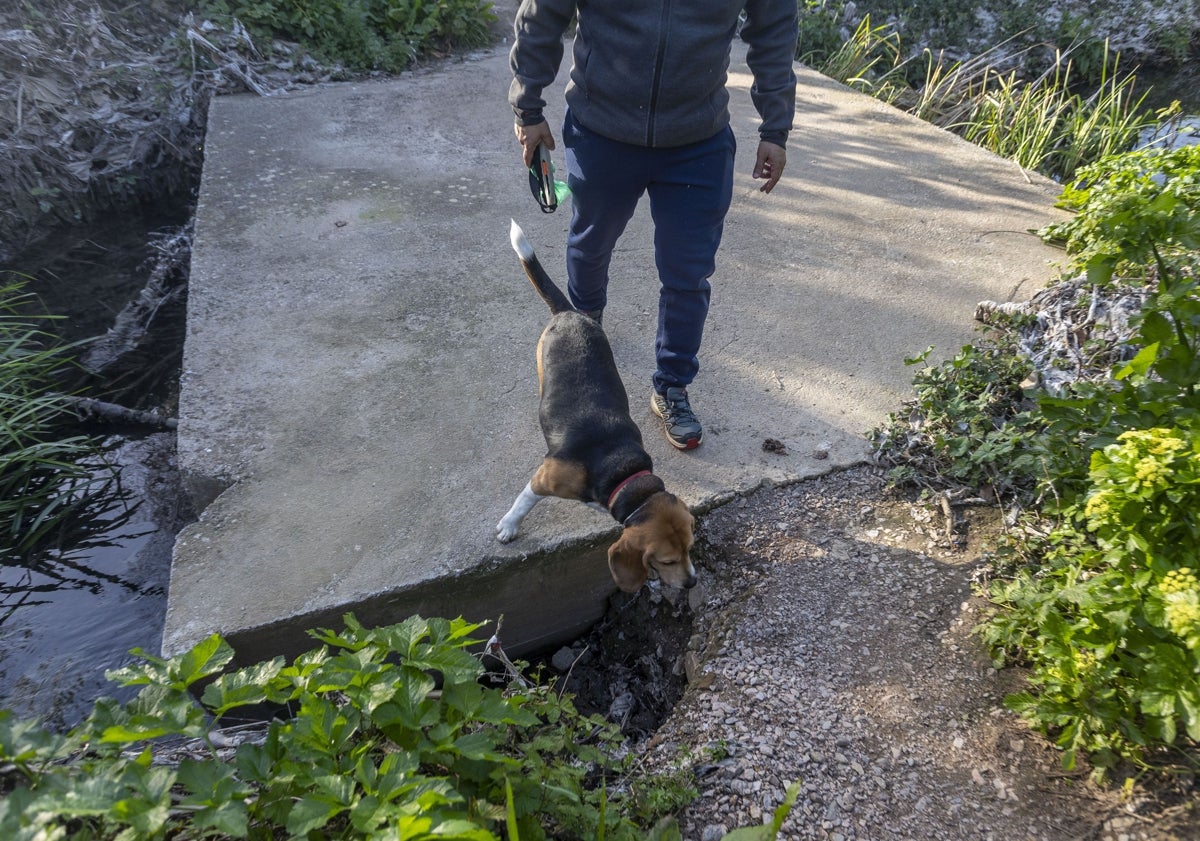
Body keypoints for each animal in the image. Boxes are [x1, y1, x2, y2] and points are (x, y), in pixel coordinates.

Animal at [496, 219, 700, 592]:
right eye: (667, 560)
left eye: (689, 548)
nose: (691, 583)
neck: (621, 469)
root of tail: (569, 312)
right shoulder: (544, 478)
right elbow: (523, 501)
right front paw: (509, 526)